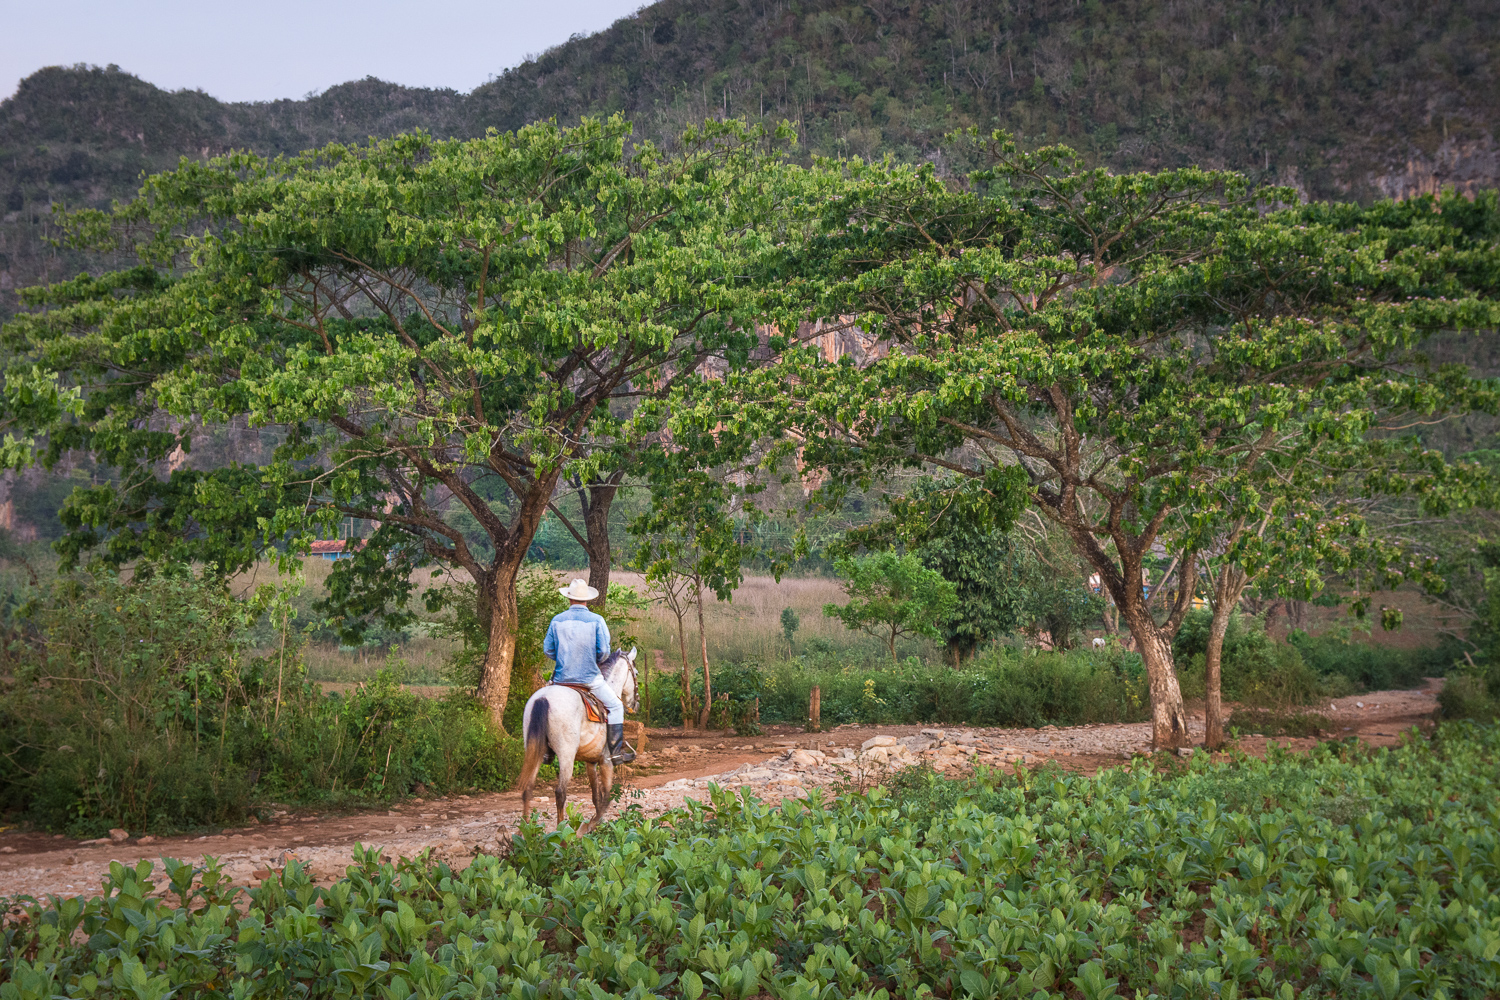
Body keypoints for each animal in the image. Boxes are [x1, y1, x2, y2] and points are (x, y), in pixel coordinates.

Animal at [519, 650, 636, 827]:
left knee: (527, 788)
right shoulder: (606, 761)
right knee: (560, 792)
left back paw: (526, 831)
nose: (636, 704)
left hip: (534, 750)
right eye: (636, 673)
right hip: (566, 756)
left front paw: (596, 825)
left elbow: (596, 796)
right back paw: (560, 830)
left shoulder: (591, 762)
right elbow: (605, 795)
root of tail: (543, 698)